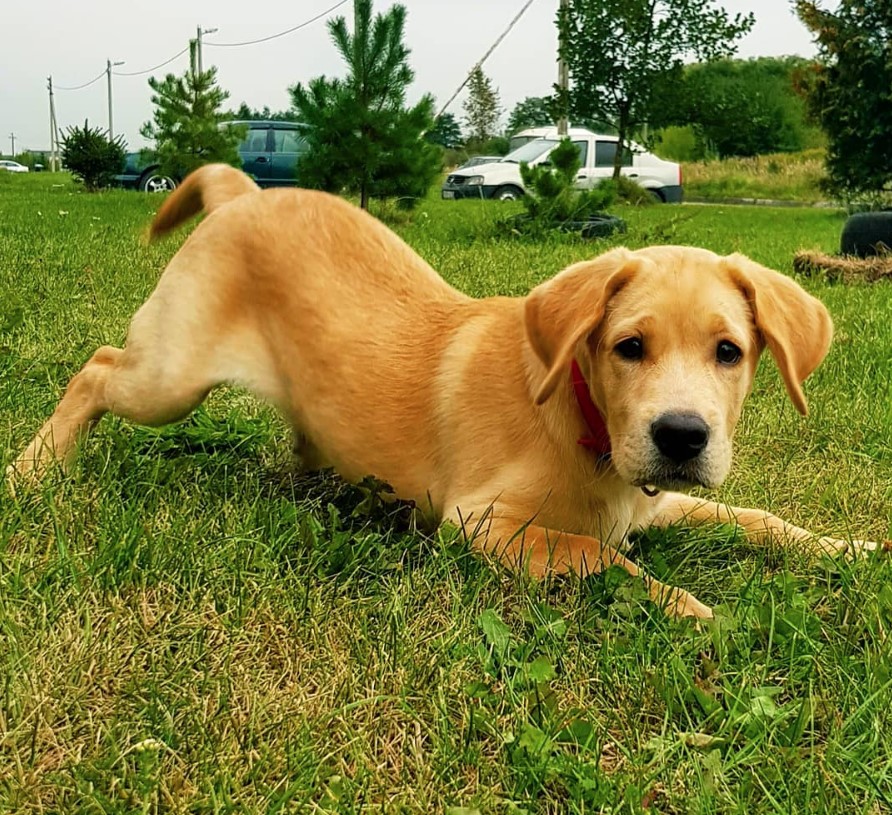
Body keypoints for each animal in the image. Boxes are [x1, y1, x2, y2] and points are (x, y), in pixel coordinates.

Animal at [5, 164, 872, 620]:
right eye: (630, 347)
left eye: (730, 352)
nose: (683, 435)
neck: (581, 420)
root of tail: (244, 190)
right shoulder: (479, 522)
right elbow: (594, 552)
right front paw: (685, 606)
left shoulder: (657, 498)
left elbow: (757, 518)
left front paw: (851, 550)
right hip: (170, 377)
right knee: (97, 366)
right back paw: (35, 468)